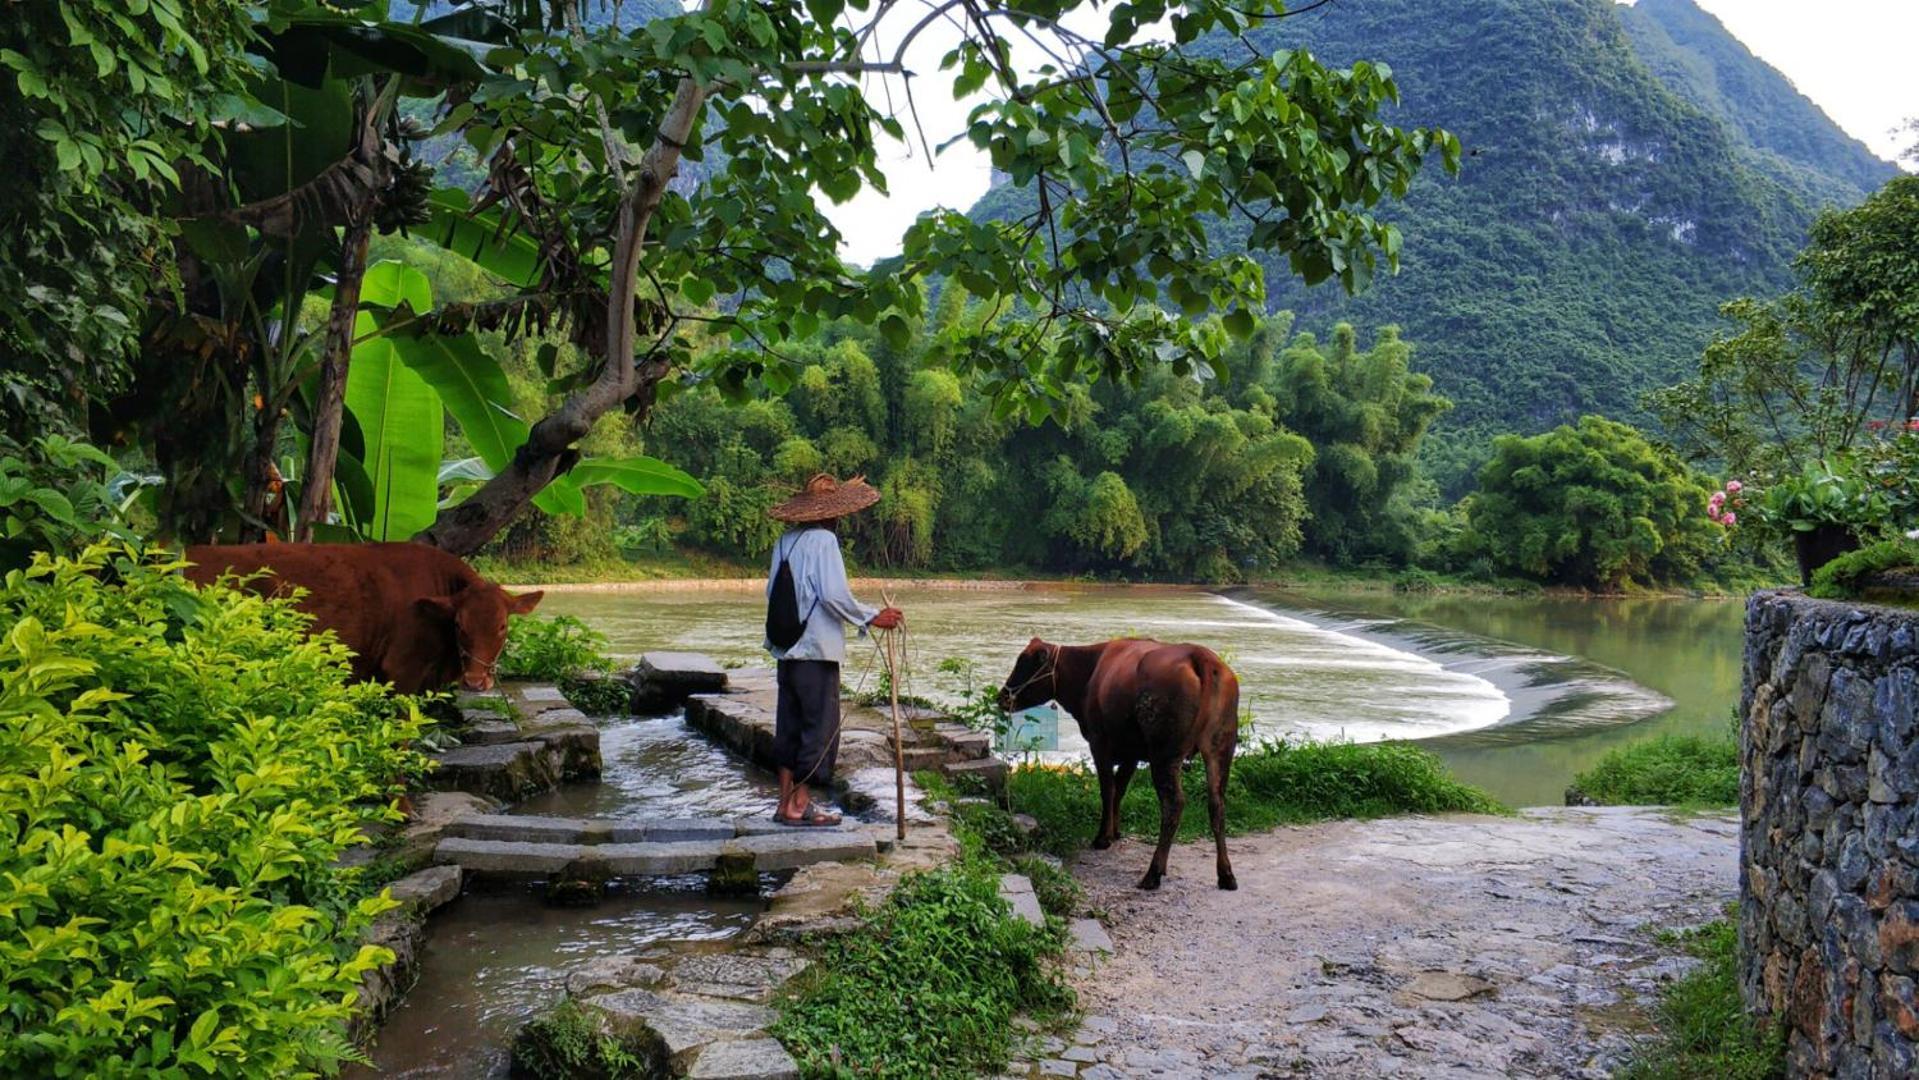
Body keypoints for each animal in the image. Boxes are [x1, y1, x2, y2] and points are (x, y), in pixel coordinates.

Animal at [1005, 636, 1243, 890]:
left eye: (1023, 663)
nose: (1002, 696)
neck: (1088, 673)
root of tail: (1199, 655)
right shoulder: (1131, 753)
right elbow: (1120, 790)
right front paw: (1115, 832)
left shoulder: (1099, 742)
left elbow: (1107, 790)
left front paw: (1102, 838)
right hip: (1221, 747)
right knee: (1217, 804)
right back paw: (1226, 875)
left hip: (1164, 753)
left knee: (1173, 804)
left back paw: (1153, 874)